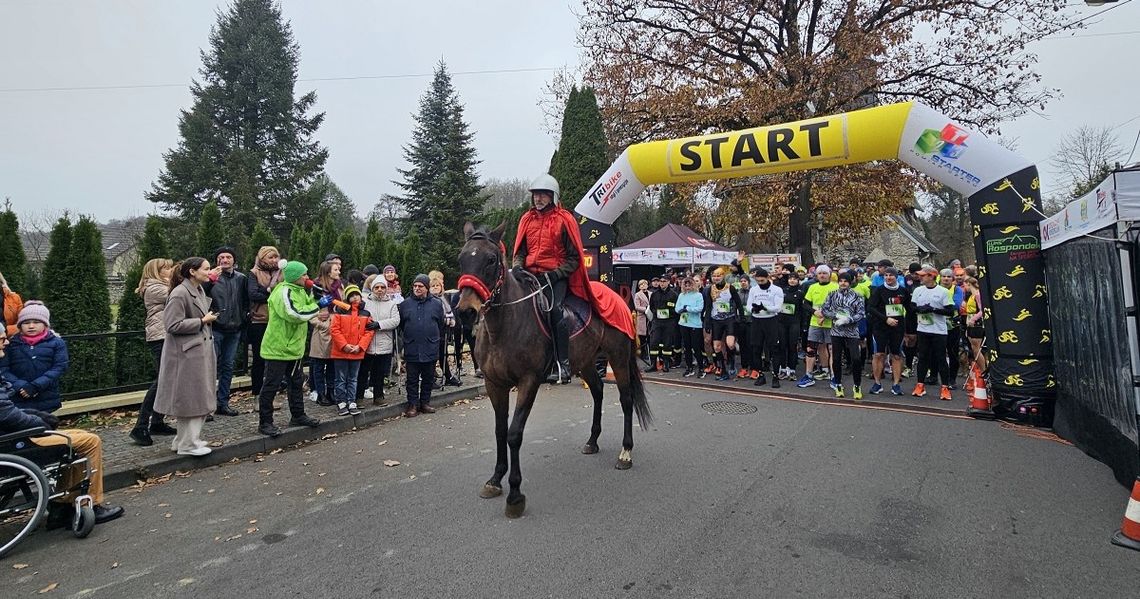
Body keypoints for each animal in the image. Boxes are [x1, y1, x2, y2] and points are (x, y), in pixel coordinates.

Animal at [453, 221, 652, 515]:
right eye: (462, 259)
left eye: (490, 260)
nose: (466, 312)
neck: (505, 326)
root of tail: (617, 296)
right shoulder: (494, 384)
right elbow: (500, 431)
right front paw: (495, 479)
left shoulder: (529, 381)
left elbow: (514, 434)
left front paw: (515, 494)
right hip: (586, 361)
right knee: (597, 392)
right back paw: (592, 441)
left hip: (617, 356)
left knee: (626, 400)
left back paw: (625, 453)